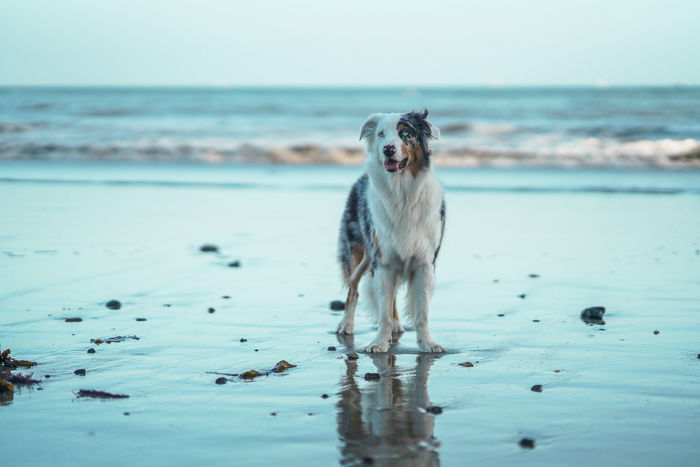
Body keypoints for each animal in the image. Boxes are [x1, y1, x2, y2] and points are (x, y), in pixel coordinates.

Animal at [336, 109, 446, 352]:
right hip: (357, 251)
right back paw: (346, 325)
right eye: (381, 134)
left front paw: (428, 343)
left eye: (405, 133)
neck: (402, 192)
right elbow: (383, 311)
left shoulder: (424, 262)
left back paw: (396, 326)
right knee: (353, 289)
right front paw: (379, 343)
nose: (388, 149)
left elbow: (422, 311)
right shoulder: (383, 260)